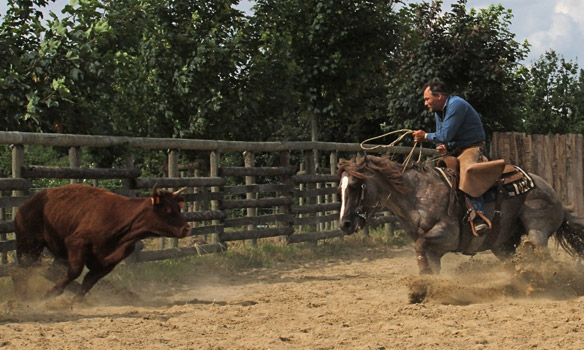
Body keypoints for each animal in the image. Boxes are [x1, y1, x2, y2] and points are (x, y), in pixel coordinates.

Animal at [12, 183, 189, 298]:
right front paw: (51, 293)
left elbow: (88, 282)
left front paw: (75, 300)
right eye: (166, 209)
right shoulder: (76, 243)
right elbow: (75, 272)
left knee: (51, 271)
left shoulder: (109, 262)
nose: (187, 228)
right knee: (22, 271)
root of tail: (25, 205)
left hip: (58, 254)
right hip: (29, 245)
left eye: (178, 208)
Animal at [336, 154, 584, 274]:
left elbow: (420, 247)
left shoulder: (447, 235)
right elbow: (427, 260)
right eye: (340, 187)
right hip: (503, 245)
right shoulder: (433, 248)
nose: (344, 224)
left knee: (543, 255)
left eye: (356, 185)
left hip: (536, 229)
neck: (417, 194)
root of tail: (555, 196)